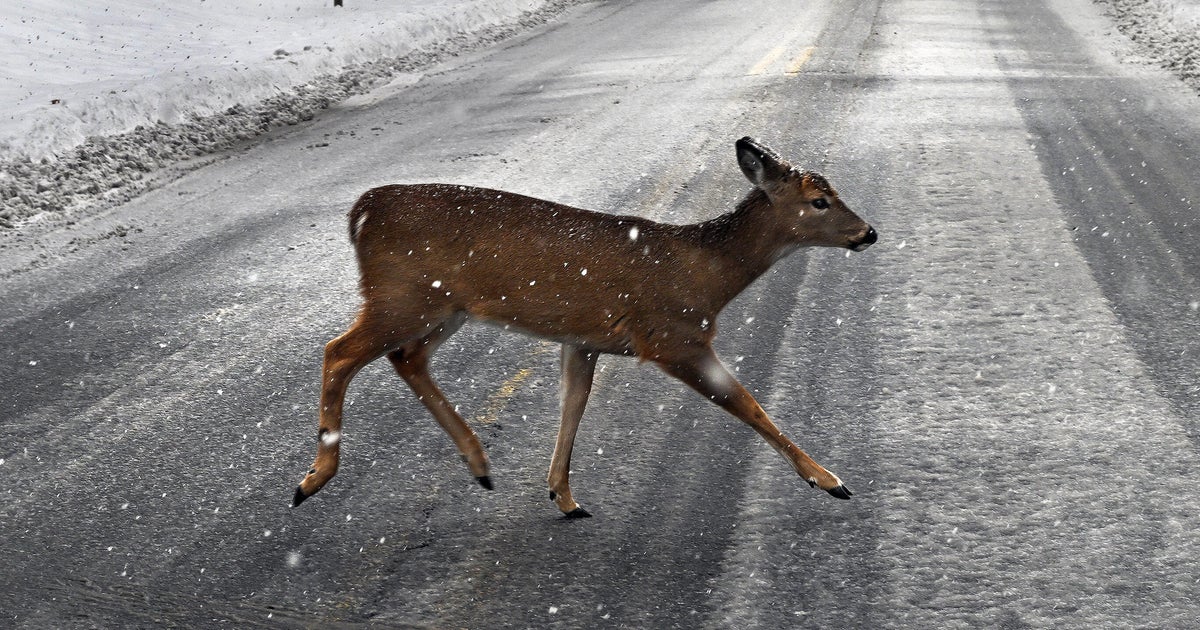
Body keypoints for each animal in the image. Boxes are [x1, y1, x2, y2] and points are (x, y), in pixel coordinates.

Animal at [291, 137, 877, 517]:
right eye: (819, 201)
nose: (868, 232)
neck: (704, 274)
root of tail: (361, 212)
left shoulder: (584, 341)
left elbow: (574, 404)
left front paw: (564, 496)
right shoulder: (671, 336)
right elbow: (748, 404)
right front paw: (830, 481)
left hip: (443, 308)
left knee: (406, 358)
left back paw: (479, 464)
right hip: (403, 297)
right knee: (338, 351)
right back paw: (313, 478)